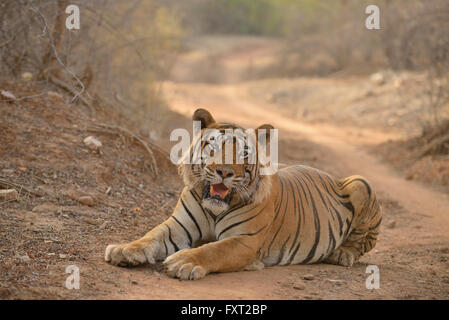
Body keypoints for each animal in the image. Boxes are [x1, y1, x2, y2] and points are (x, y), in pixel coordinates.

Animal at [105, 108, 382, 280]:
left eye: (244, 153)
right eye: (213, 147)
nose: (224, 172)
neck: (215, 209)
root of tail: (331, 175)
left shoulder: (244, 240)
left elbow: (213, 250)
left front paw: (182, 261)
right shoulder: (177, 226)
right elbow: (150, 236)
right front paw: (123, 249)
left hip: (362, 183)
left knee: (361, 243)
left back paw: (341, 254)